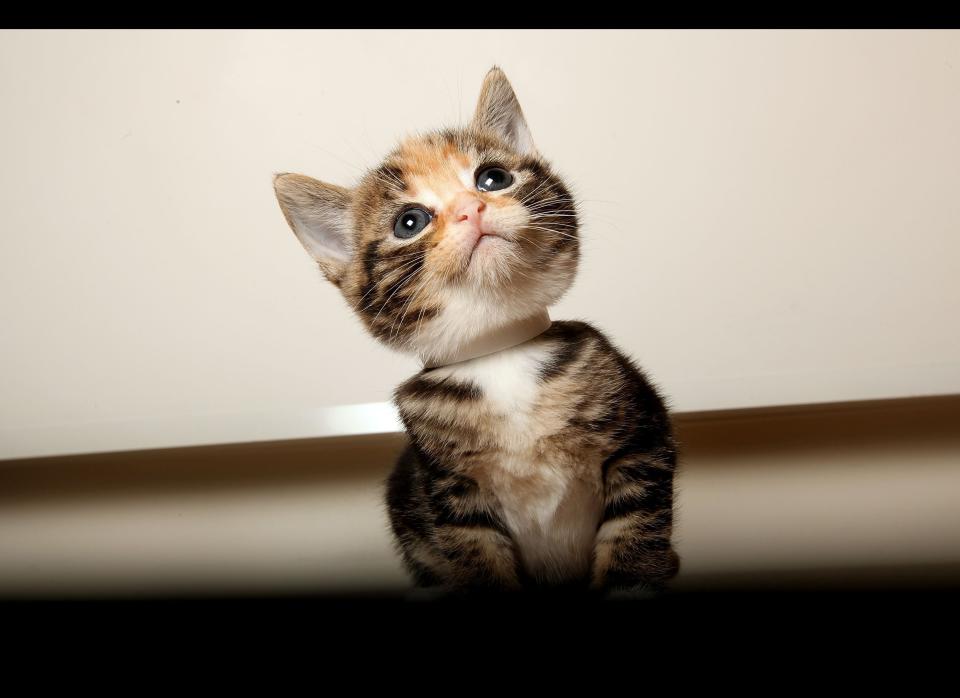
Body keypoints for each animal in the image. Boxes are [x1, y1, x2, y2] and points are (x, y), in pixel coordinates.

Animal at [274, 66, 680, 592]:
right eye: (410, 222)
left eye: (493, 178)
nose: (472, 208)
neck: (499, 355)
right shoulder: (455, 501)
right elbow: (479, 561)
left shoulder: (642, 443)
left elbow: (633, 545)